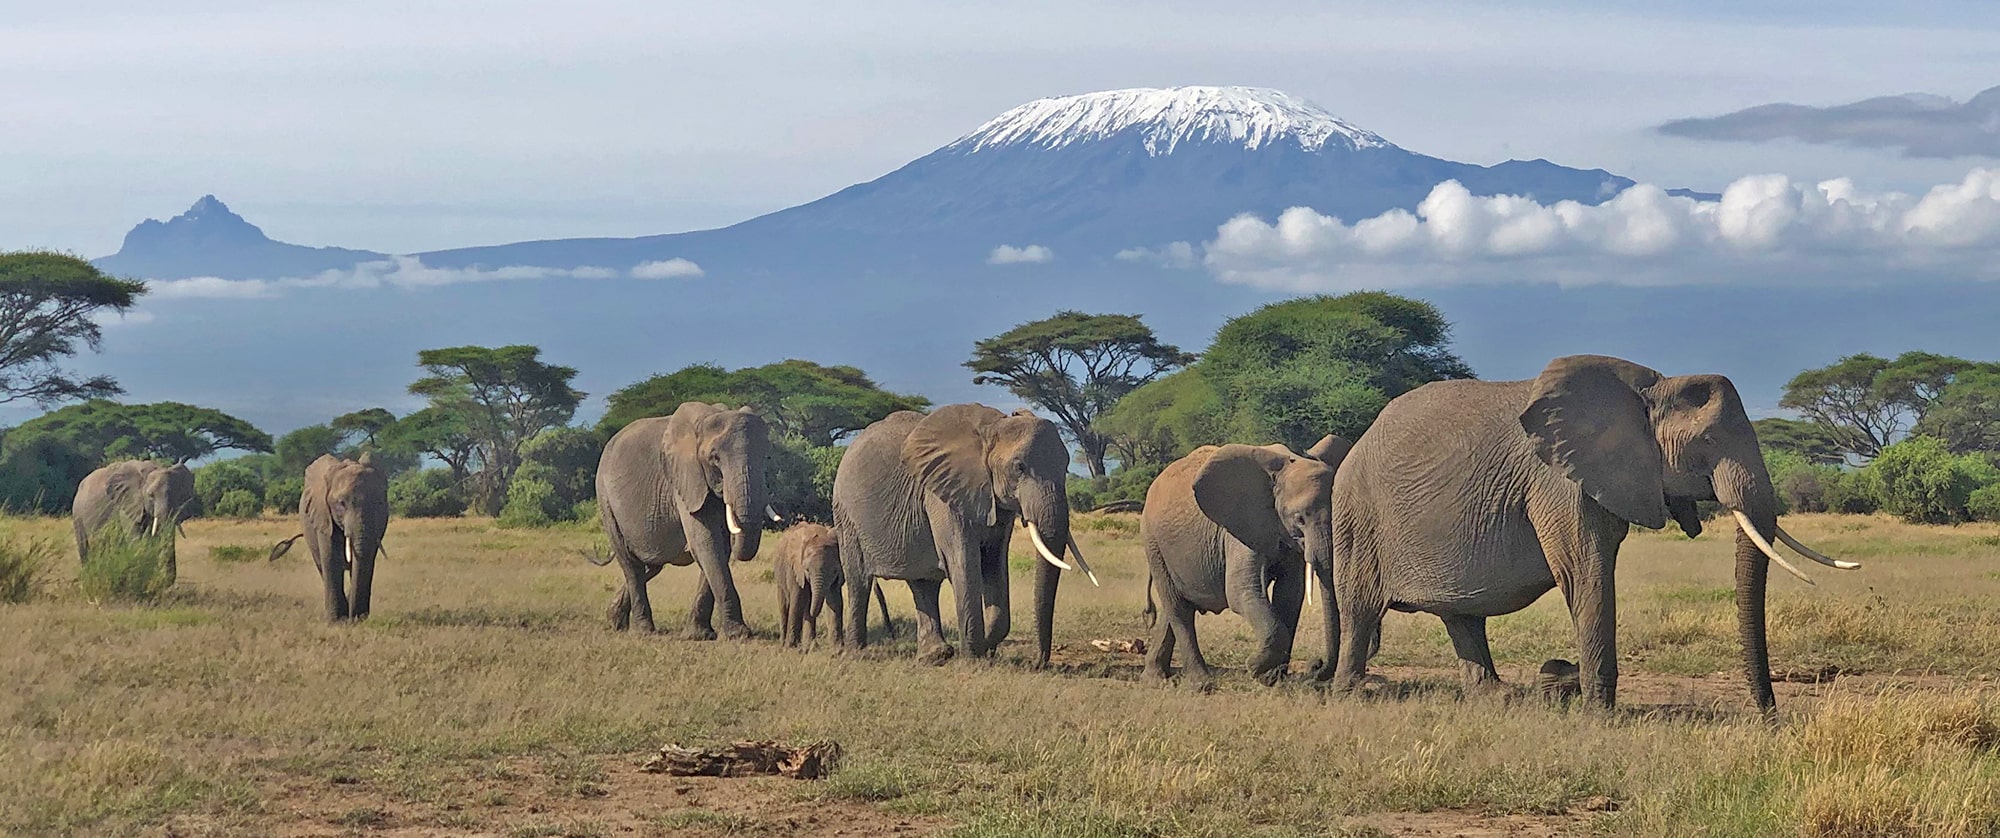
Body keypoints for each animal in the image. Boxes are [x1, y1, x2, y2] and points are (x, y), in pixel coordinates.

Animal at [269, 453, 390, 621]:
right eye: (341, 503)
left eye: (379, 502)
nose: (354, 618)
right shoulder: (323, 515)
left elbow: (367, 560)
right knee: (322, 567)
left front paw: (358, 618)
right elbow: (330, 559)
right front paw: (337, 621)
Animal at [591, 402, 773, 639]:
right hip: (606, 500)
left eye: (765, 457)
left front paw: (699, 635)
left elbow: (718, 549)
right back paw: (643, 631)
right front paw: (737, 634)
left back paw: (614, 620)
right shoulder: (685, 479)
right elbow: (706, 544)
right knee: (631, 564)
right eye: (715, 458)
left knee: (651, 565)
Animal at [832, 404, 1096, 666]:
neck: (992, 429)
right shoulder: (944, 495)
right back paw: (856, 653)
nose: (1037, 663)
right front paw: (972, 658)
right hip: (845, 516)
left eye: (1066, 467)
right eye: (1019, 467)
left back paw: (935, 655)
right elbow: (965, 563)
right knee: (859, 580)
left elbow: (994, 563)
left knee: (923, 584)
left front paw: (982, 648)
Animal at [1141, 435, 1350, 686]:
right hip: (1153, 543)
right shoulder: (1239, 528)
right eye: (1299, 519)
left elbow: (1289, 594)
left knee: (1174, 606)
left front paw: (1272, 680)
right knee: (1178, 608)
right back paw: (1200, 683)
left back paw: (1155, 679)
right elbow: (1240, 591)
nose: (1315, 665)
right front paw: (1254, 668)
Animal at [1321, 355, 1856, 712]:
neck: (1650, 389)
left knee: (1462, 617)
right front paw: (1599, 714)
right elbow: (1585, 572)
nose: (1772, 719)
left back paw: (1496, 697)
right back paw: (1349, 694)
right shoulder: (1556, 480)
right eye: (1707, 441)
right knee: (1360, 608)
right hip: (1355, 517)